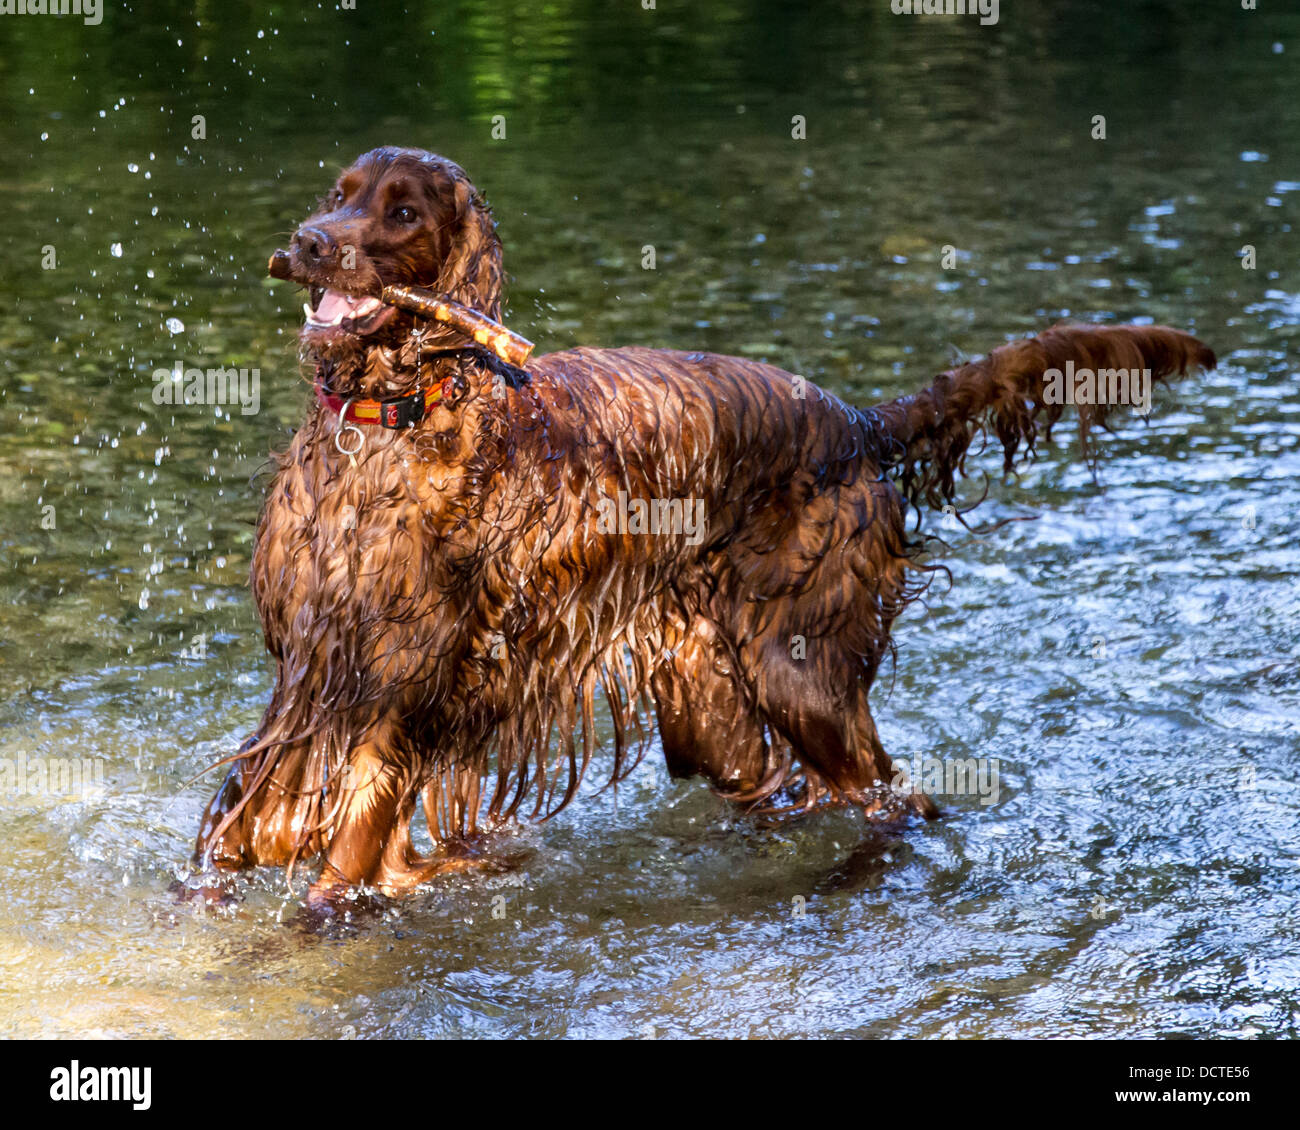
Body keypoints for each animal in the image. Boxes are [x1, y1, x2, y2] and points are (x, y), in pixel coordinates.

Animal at [189, 150, 1206, 910]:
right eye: (339, 197)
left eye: (401, 213)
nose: (309, 243)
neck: (392, 423)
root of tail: (856, 423)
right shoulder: (314, 665)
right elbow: (242, 823)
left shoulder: (411, 682)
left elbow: (343, 852)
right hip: (709, 701)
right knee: (784, 790)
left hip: (802, 670)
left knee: (894, 797)